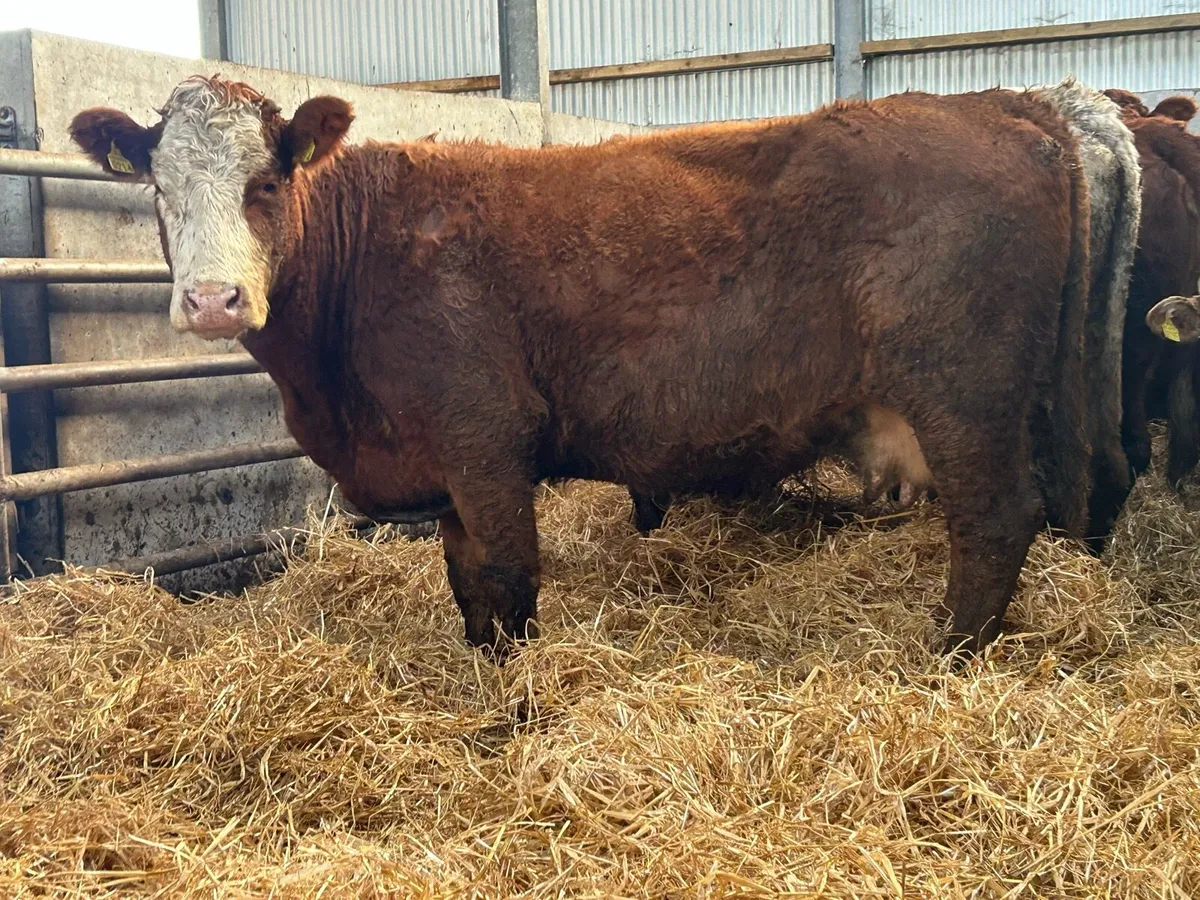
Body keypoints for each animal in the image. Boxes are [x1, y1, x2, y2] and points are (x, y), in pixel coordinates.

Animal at [71, 76, 1096, 658]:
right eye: (158, 186)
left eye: (267, 181)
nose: (212, 300)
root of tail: (1005, 107)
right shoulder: (452, 470)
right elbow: (469, 586)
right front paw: (485, 676)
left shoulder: (486, 437)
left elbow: (510, 577)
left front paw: (516, 713)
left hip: (966, 395)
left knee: (997, 521)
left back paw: (944, 658)